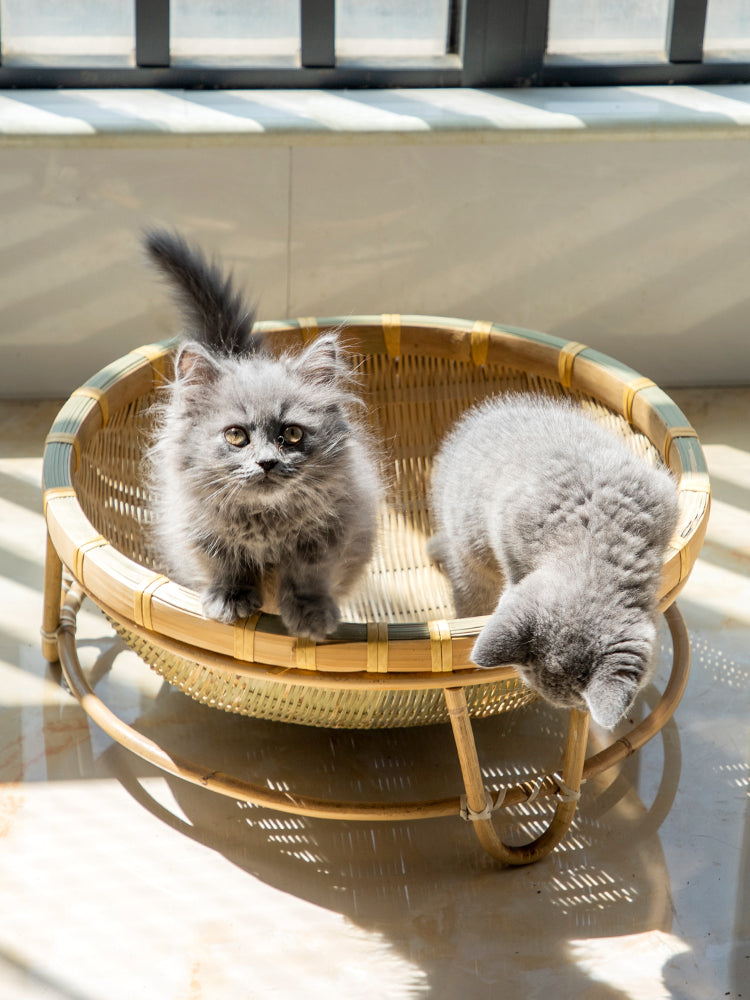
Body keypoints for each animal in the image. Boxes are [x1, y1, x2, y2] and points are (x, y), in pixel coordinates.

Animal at [143, 229, 382, 636]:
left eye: (293, 434)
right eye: (236, 436)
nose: (267, 462)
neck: (265, 524)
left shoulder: (330, 535)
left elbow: (309, 578)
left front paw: (311, 616)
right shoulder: (201, 533)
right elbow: (225, 567)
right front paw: (229, 601)